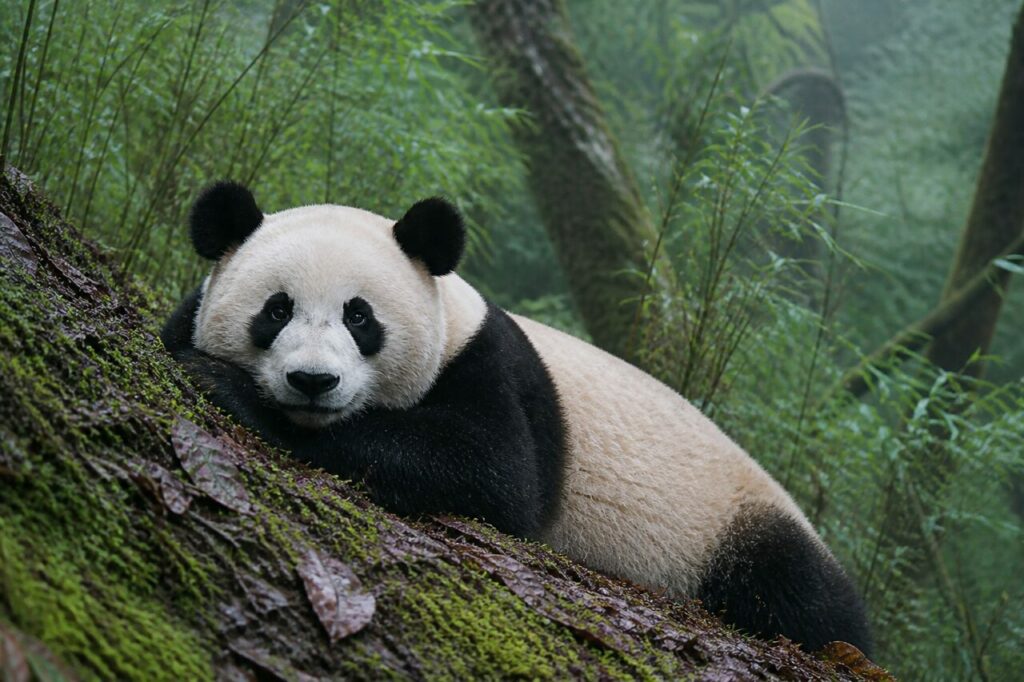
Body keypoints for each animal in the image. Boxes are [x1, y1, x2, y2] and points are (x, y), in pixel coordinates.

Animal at [162, 181, 871, 654]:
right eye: (276, 309)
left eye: (359, 317)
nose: (312, 382)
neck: (452, 314)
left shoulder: (489, 366)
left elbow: (490, 473)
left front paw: (232, 390)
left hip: (736, 525)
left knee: (800, 595)